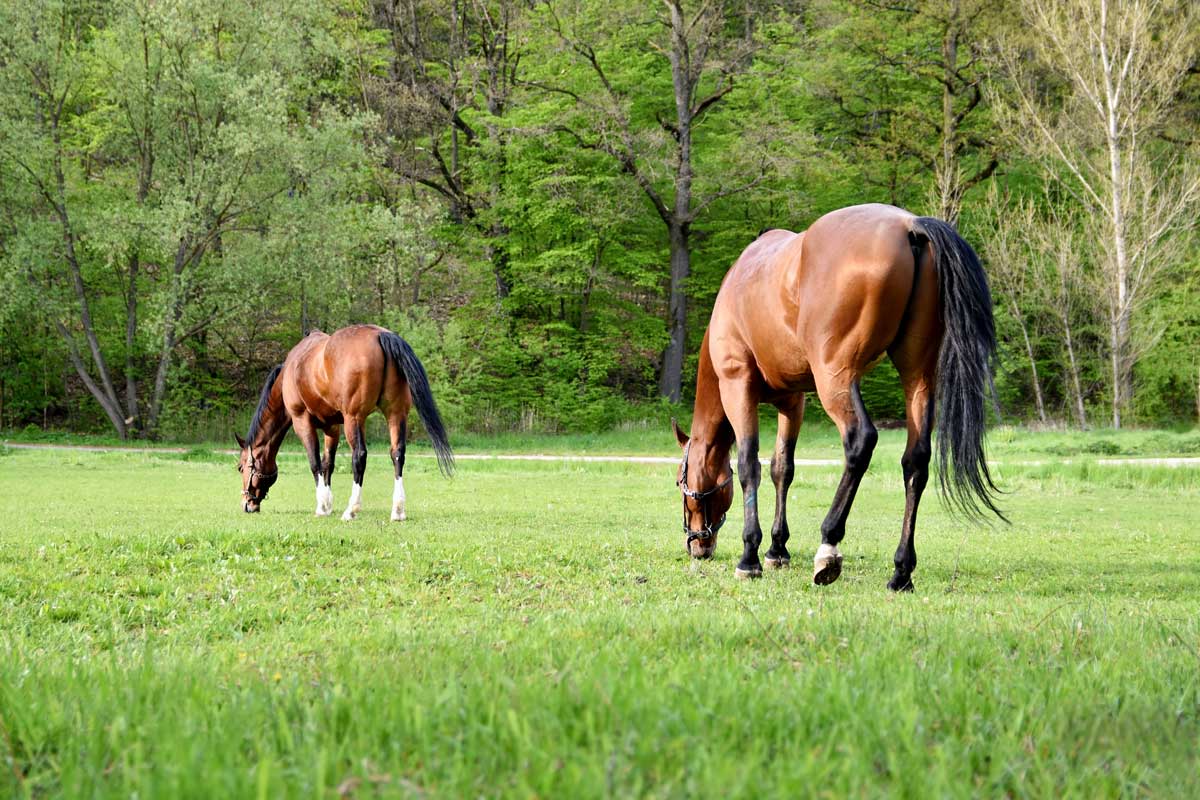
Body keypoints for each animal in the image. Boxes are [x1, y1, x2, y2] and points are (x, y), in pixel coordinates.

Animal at [236, 324, 454, 520]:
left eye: (240, 467)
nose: (247, 504)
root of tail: (381, 335)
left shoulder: (302, 421)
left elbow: (314, 463)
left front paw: (322, 506)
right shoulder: (332, 427)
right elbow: (327, 464)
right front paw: (328, 504)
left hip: (354, 418)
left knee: (359, 456)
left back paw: (351, 510)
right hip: (396, 414)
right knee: (397, 454)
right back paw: (398, 511)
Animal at [672, 203, 1002, 591]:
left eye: (681, 483)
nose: (697, 545)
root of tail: (911, 226)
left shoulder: (738, 386)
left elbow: (749, 465)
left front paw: (750, 555)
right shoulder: (793, 402)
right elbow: (782, 468)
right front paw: (777, 550)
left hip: (836, 378)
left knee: (861, 441)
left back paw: (828, 545)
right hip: (918, 376)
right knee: (916, 461)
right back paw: (901, 571)